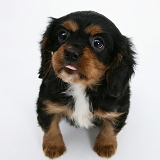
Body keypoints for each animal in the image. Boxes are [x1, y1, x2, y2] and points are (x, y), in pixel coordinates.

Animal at [37, 11, 136, 159]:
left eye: (98, 43)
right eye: (62, 35)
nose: (71, 53)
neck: (80, 86)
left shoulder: (118, 108)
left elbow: (111, 126)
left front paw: (106, 145)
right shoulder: (46, 103)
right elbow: (50, 125)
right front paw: (53, 146)